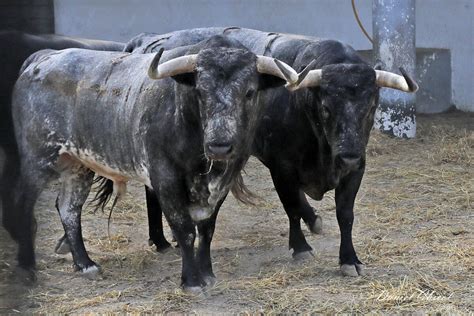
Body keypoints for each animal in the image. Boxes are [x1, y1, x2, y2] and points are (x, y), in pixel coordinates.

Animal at [9, 35, 302, 292]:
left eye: (249, 92)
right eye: (200, 91)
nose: (219, 145)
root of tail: (43, 58)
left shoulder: (223, 183)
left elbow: (207, 229)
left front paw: (207, 273)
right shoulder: (165, 178)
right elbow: (185, 230)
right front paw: (191, 280)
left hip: (77, 165)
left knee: (69, 209)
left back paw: (85, 264)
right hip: (37, 159)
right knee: (23, 205)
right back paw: (26, 268)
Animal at [122, 26, 418, 276]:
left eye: (371, 108)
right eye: (326, 108)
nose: (348, 155)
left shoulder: (356, 169)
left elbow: (345, 214)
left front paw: (349, 259)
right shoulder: (281, 166)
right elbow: (291, 205)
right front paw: (300, 247)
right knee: (153, 190)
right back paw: (161, 240)